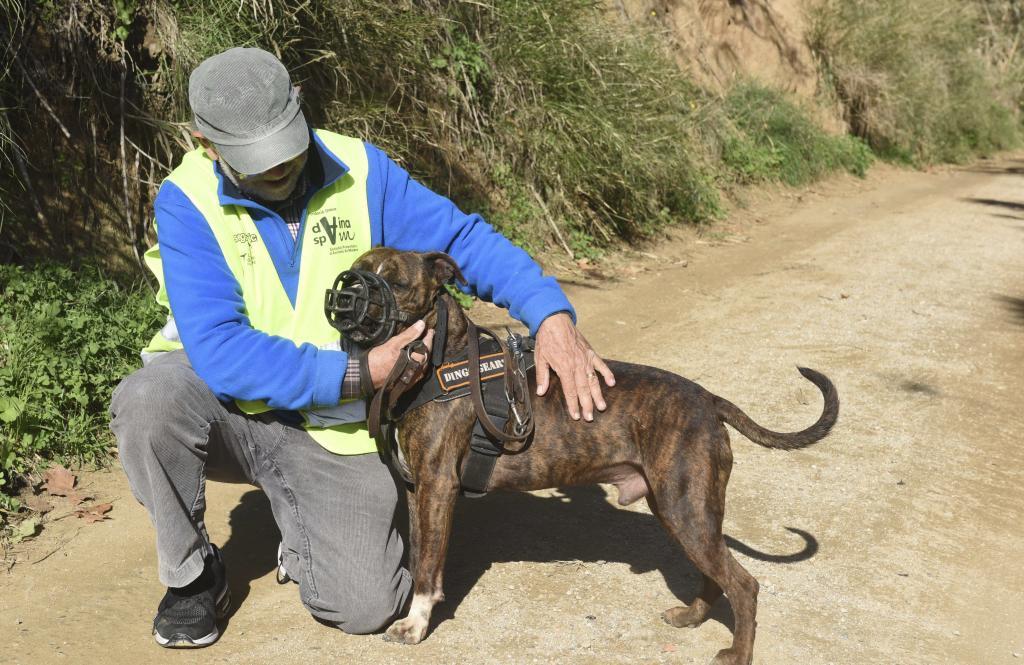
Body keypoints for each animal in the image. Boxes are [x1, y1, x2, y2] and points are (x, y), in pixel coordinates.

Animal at [354, 245, 839, 659]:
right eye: (358, 269)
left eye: (396, 283)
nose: (351, 295)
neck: (441, 360)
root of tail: (708, 399)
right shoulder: (419, 491)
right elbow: (422, 555)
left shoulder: (437, 487)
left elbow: (428, 565)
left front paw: (415, 625)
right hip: (682, 512)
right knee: (716, 577)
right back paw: (692, 616)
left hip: (687, 511)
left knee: (743, 584)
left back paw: (737, 653)